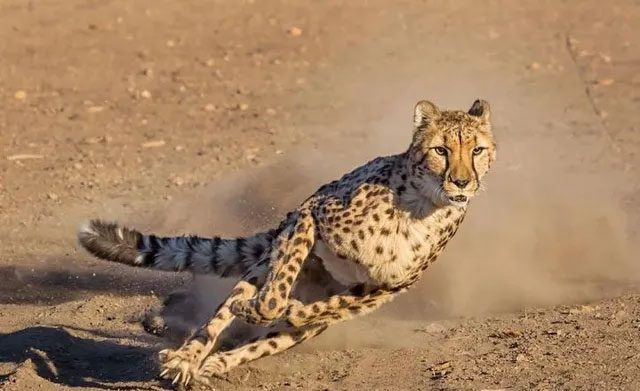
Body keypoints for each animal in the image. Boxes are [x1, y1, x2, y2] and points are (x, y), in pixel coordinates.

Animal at [75, 99, 496, 388]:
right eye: (441, 150)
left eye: (477, 150)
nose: (462, 182)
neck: (420, 207)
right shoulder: (311, 215)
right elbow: (273, 297)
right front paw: (260, 308)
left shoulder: (384, 288)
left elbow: (322, 309)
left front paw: (295, 312)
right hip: (266, 258)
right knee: (217, 321)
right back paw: (187, 358)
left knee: (271, 337)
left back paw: (217, 362)